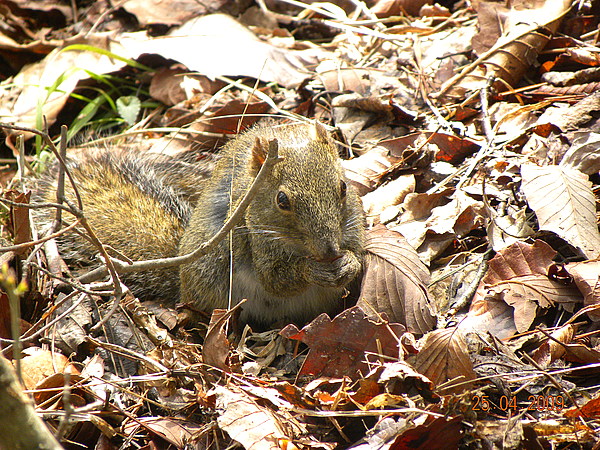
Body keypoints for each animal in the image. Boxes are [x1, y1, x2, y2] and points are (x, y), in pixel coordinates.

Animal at [37, 123, 366, 326]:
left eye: (343, 187)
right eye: (282, 200)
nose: (329, 251)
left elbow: (360, 257)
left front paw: (348, 262)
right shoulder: (256, 239)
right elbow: (277, 280)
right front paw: (313, 270)